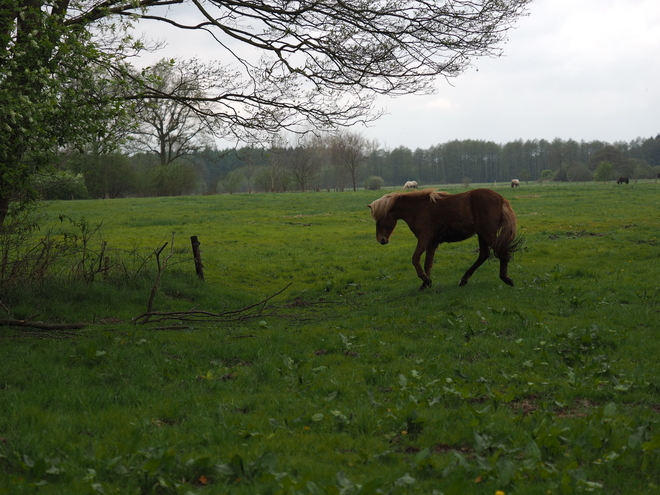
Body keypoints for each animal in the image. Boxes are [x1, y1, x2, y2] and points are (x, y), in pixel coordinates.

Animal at [368, 190, 524, 290]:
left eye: (380, 219)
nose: (381, 240)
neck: (418, 209)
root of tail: (502, 199)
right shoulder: (431, 243)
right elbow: (428, 264)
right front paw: (425, 284)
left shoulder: (424, 238)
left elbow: (415, 259)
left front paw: (426, 280)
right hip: (482, 234)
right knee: (484, 255)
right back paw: (464, 279)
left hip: (487, 234)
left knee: (501, 252)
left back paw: (506, 279)